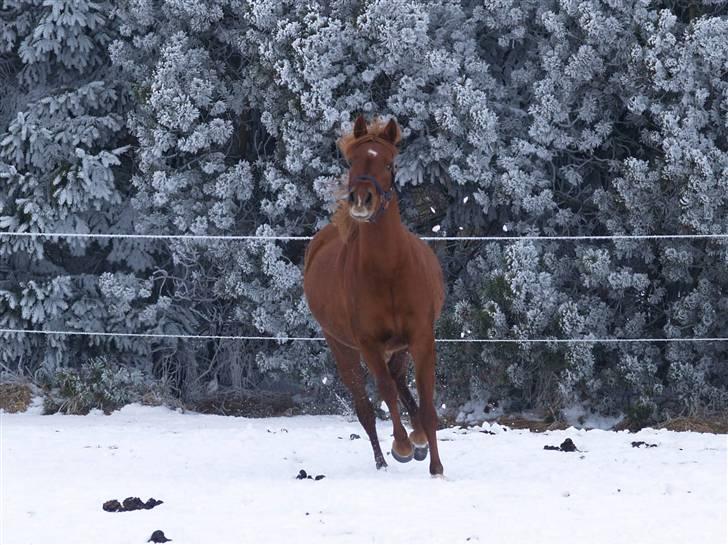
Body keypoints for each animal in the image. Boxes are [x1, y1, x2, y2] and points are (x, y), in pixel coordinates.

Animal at [302, 116, 444, 476]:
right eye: (351, 161)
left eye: (389, 163)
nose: (361, 200)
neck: (389, 269)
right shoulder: (368, 343)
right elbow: (385, 392)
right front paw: (403, 446)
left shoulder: (421, 337)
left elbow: (426, 401)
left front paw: (436, 466)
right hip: (342, 348)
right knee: (366, 407)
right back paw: (383, 461)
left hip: (400, 346)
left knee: (399, 380)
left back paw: (419, 438)